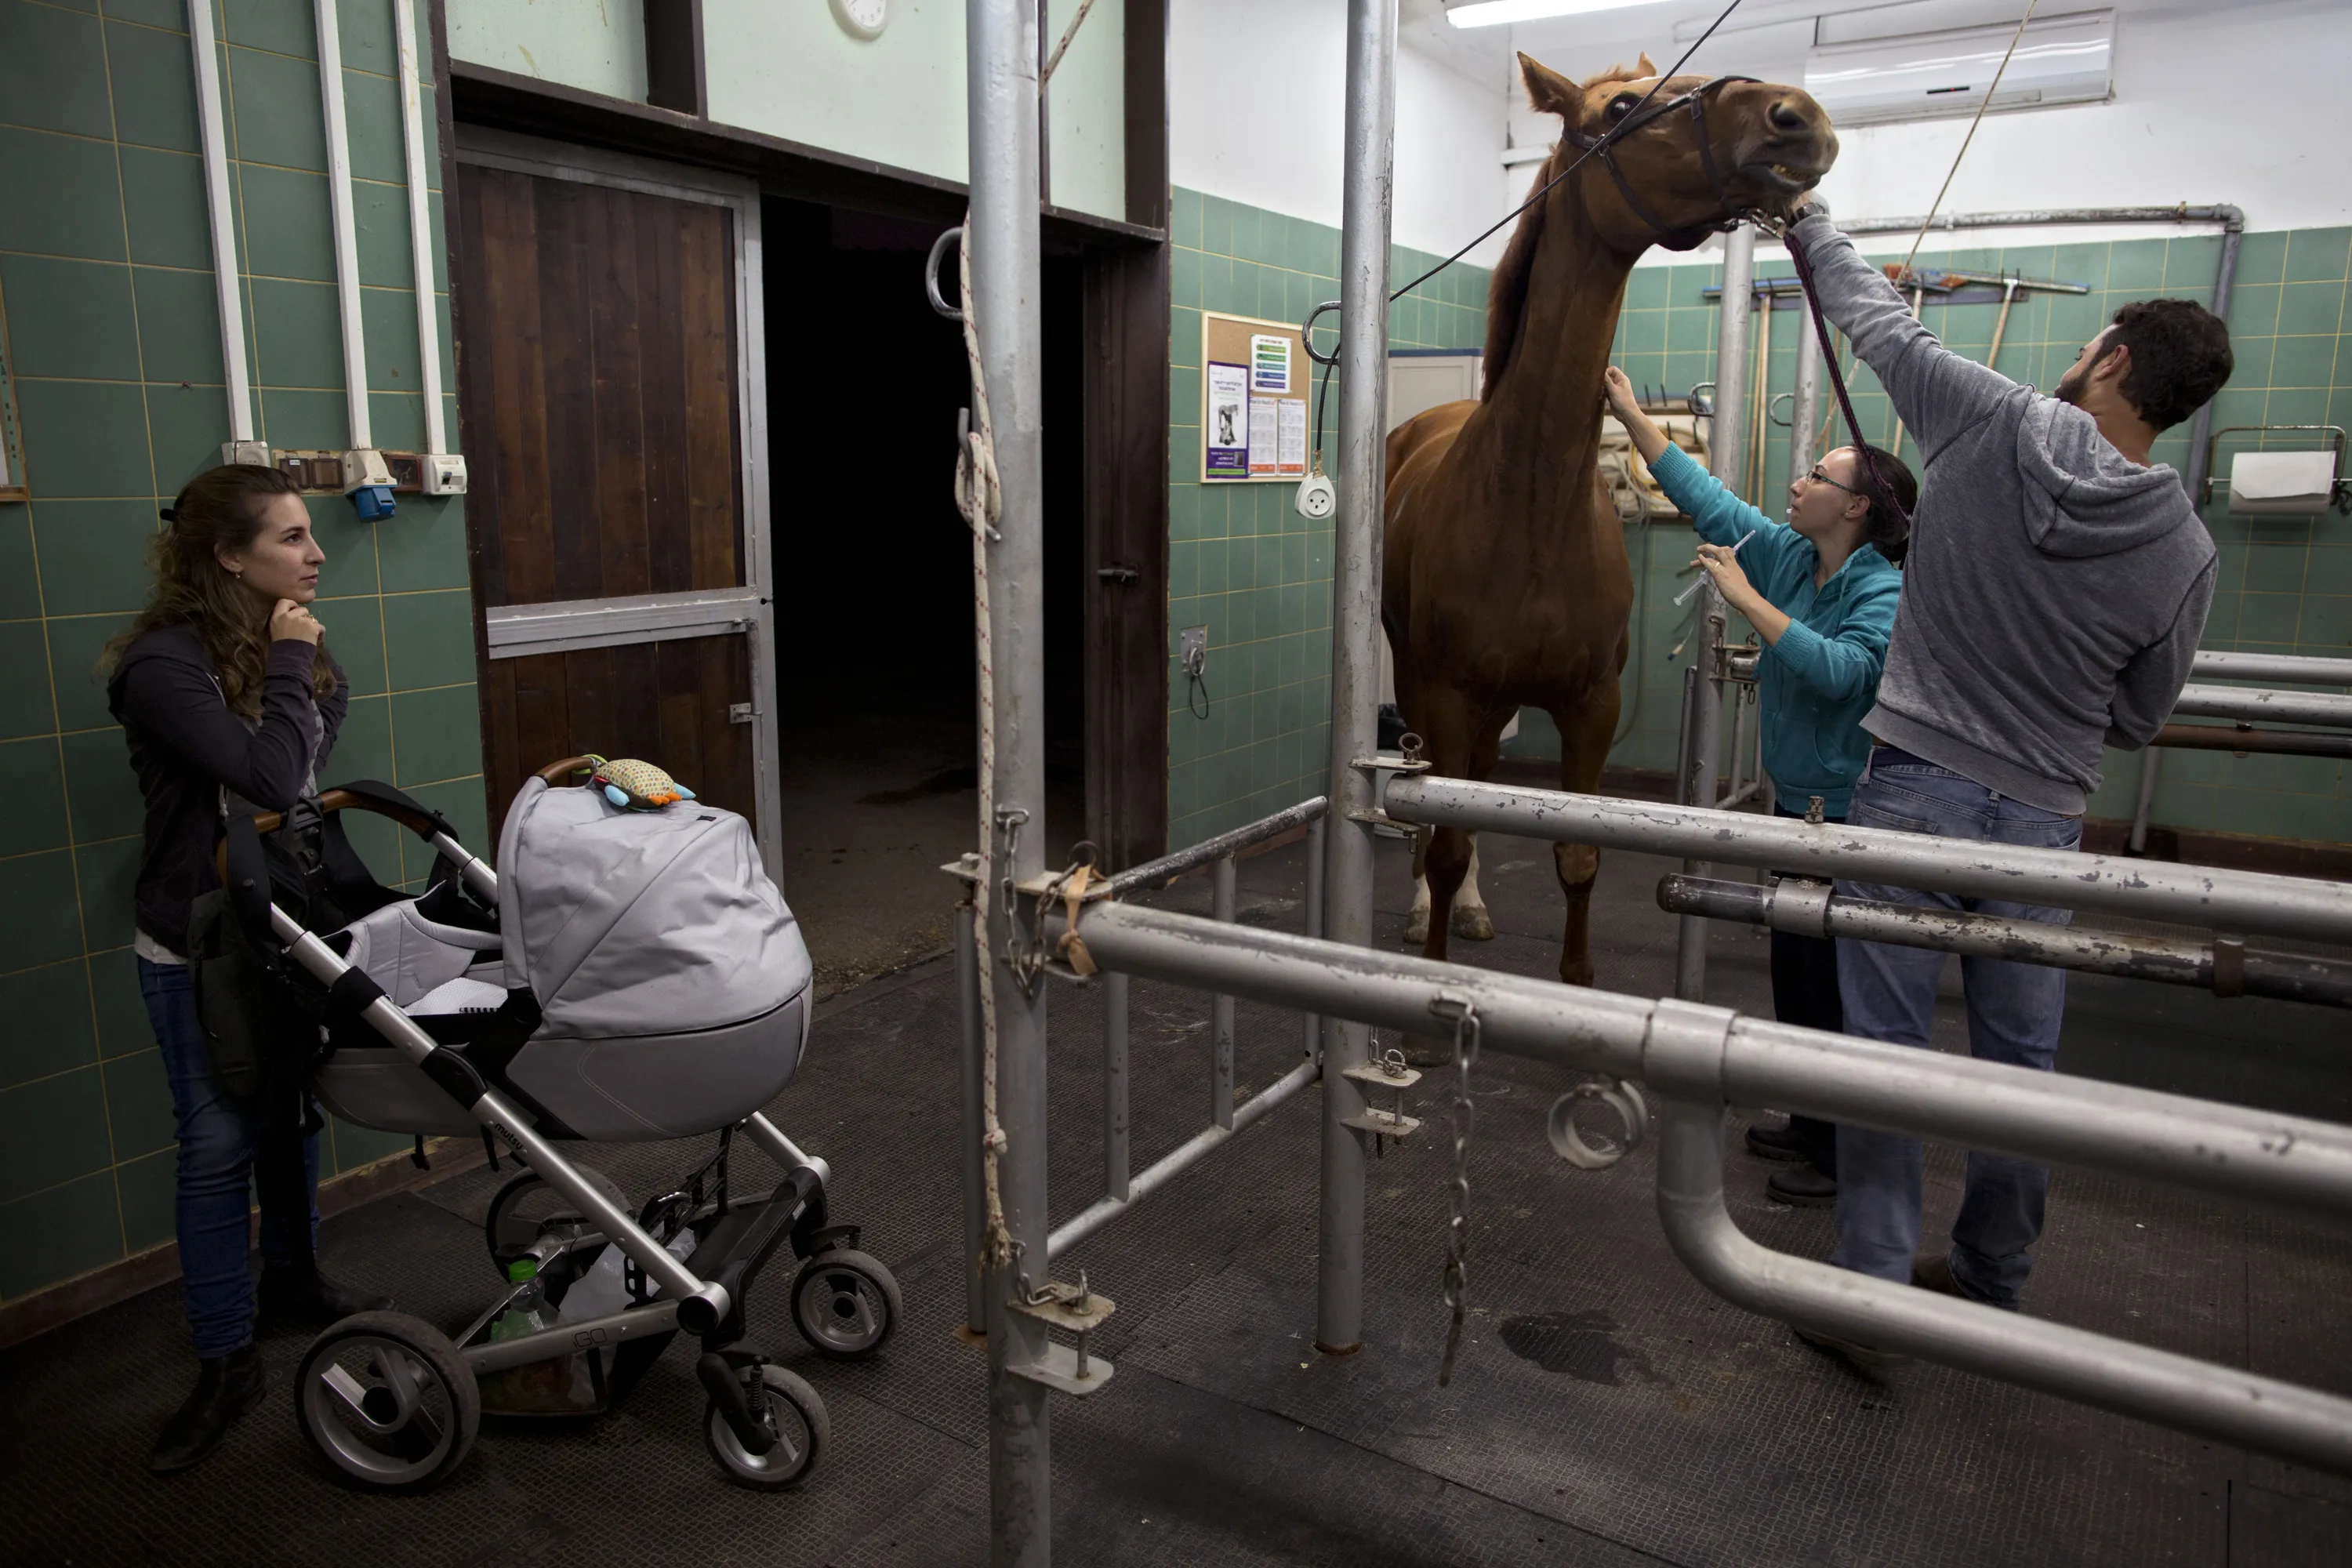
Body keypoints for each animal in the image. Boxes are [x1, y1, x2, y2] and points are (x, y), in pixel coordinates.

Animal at [1374, 55, 1835, 987]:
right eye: (1620, 108)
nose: (1797, 116)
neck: (1530, 504)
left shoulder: (1593, 703)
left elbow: (1579, 855)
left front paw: (1578, 981)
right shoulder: (1448, 692)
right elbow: (1442, 836)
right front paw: (1433, 948)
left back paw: (1470, 904)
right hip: (1423, 683)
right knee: (1436, 798)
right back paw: (1428, 909)